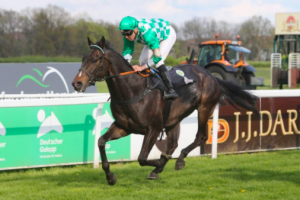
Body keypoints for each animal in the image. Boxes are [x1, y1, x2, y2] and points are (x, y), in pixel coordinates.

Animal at [72, 36, 258, 186]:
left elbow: (142, 158)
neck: (133, 90)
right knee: (173, 144)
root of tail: (211, 76)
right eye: (83, 58)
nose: (77, 83)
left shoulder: (153, 128)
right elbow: (101, 142)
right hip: (174, 119)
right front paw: (110, 177)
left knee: (200, 137)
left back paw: (179, 161)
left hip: (204, 108)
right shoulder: (123, 127)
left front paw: (160, 165)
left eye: (96, 59)